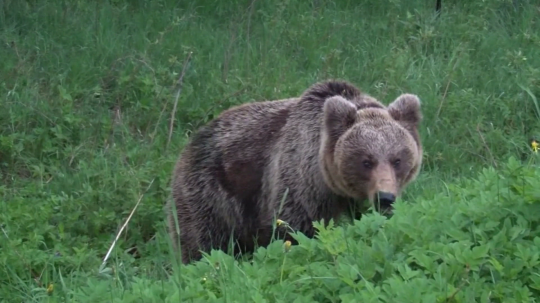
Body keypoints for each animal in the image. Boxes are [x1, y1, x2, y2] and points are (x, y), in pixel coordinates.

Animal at [168, 79, 422, 264]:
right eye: (366, 161)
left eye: (397, 159)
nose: (385, 197)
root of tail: (189, 143)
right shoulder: (299, 183)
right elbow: (295, 230)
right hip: (211, 193)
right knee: (203, 242)